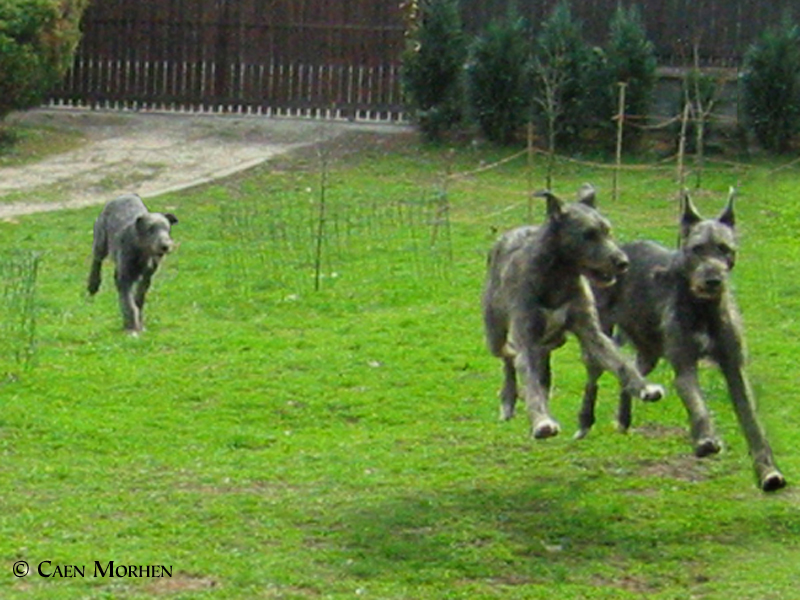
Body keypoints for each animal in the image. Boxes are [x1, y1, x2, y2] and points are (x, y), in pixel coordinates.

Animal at [89, 193, 180, 330]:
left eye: (167, 228)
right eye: (150, 229)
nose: (165, 246)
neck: (142, 249)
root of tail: (126, 195)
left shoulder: (147, 276)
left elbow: (139, 297)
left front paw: (138, 320)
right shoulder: (125, 277)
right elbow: (128, 302)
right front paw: (132, 325)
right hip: (101, 241)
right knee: (96, 260)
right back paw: (93, 284)